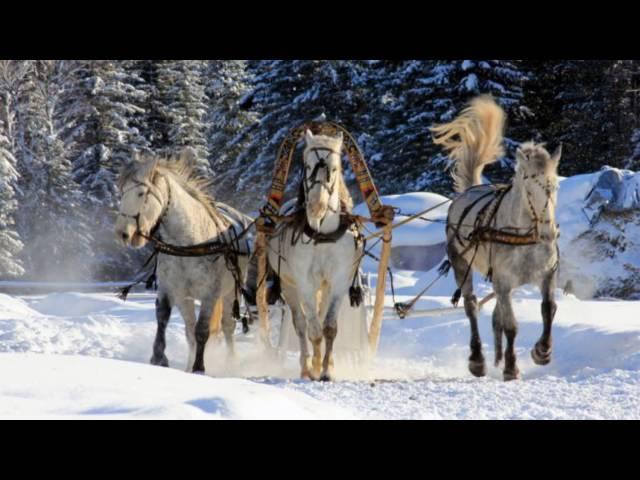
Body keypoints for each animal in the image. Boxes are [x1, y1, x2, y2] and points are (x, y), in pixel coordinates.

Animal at [116, 152, 251, 374]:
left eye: (141, 193)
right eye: (122, 192)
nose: (122, 233)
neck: (188, 243)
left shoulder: (210, 294)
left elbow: (202, 330)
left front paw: (199, 367)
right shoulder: (173, 290)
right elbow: (164, 319)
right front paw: (159, 358)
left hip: (231, 292)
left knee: (227, 326)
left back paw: (231, 362)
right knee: (190, 329)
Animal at [268, 131, 362, 382]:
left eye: (335, 168)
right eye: (308, 166)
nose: (316, 206)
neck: (322, 235)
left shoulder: (338, 281)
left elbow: (328, 326)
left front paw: (327, 369)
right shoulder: (304, 283)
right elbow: (313, 329)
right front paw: (315, 367)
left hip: (325, 285)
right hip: (289, 286)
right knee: (300, 325)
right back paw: (306, 367)